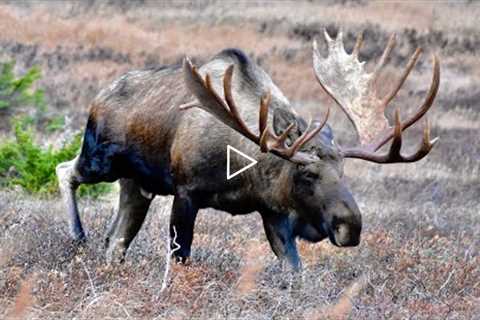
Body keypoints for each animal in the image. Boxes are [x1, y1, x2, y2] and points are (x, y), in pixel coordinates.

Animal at [55, 30, 438, 270]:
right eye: (308, 173)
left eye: (343, 172)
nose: (350, 225)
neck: (245, 168)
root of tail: (100, 95)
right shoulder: (186, 192)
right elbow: (180, 258)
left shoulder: (273, 210)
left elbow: (293, 270)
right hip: (100, 159)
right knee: (65, 171)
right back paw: (77, 235)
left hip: (137, 185)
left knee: (116, 240)